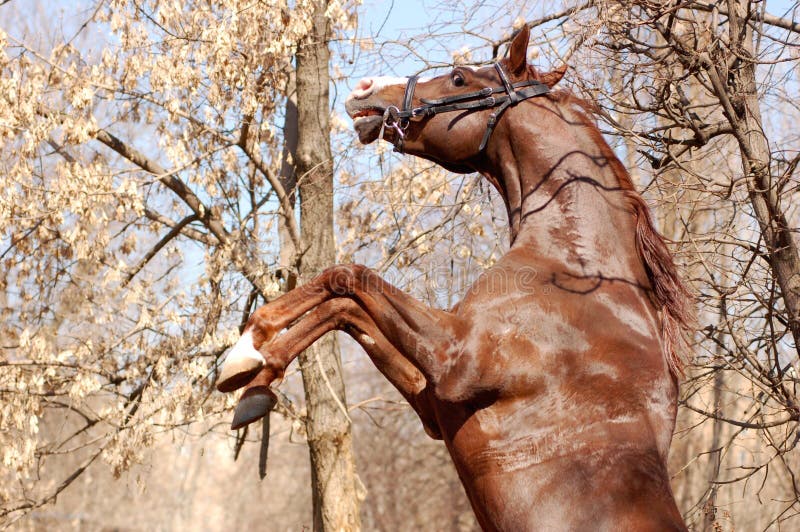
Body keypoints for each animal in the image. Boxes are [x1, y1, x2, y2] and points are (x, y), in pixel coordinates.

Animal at [216, 25, 693, 531]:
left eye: (460, 78)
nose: (364, 90)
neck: (577, 266)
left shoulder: (454, 360)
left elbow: (346, 277)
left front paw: (244, 351)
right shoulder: (434, 403)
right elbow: (347, 310)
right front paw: (254, 382)